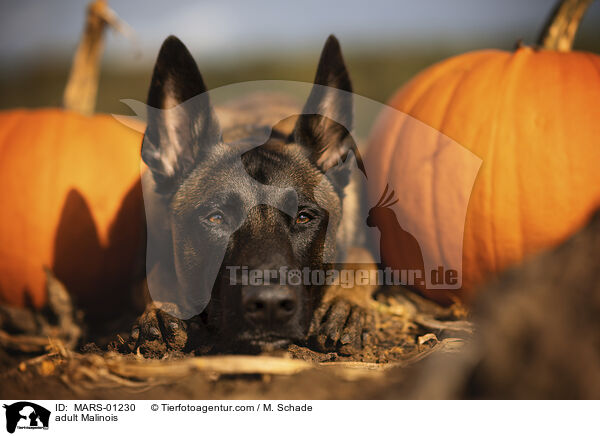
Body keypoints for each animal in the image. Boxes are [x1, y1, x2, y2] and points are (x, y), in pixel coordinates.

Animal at [132, 33, 370, 354]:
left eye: (303, 217)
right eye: (216, 218)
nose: (269, 306)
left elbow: (361, 262)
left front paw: (344, 304)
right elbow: (156, 274)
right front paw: (161, 308)